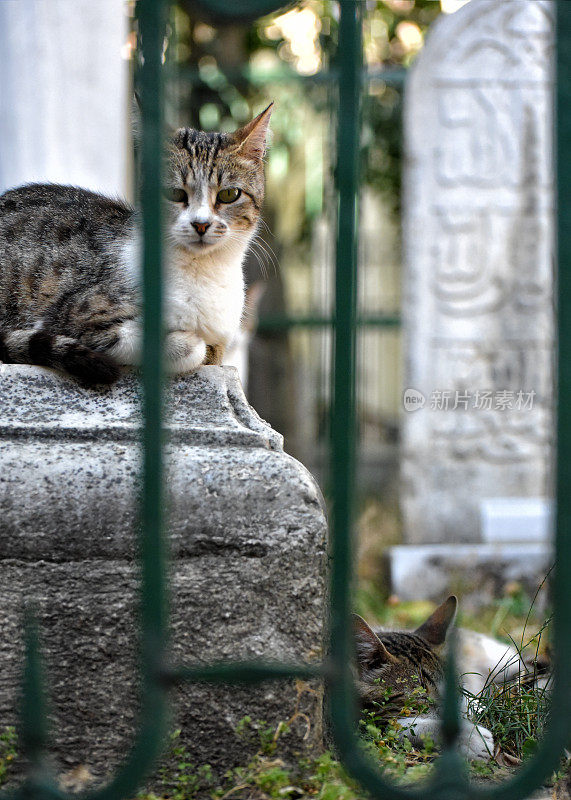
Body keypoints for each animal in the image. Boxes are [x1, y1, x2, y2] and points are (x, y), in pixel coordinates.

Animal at [0, 104, 274, 386]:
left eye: (229, 194)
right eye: (174, 194)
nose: (201, 224)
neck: (202, 273)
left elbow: (213, 350)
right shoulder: (71, 319)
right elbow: (183, 346)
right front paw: (187, 342)